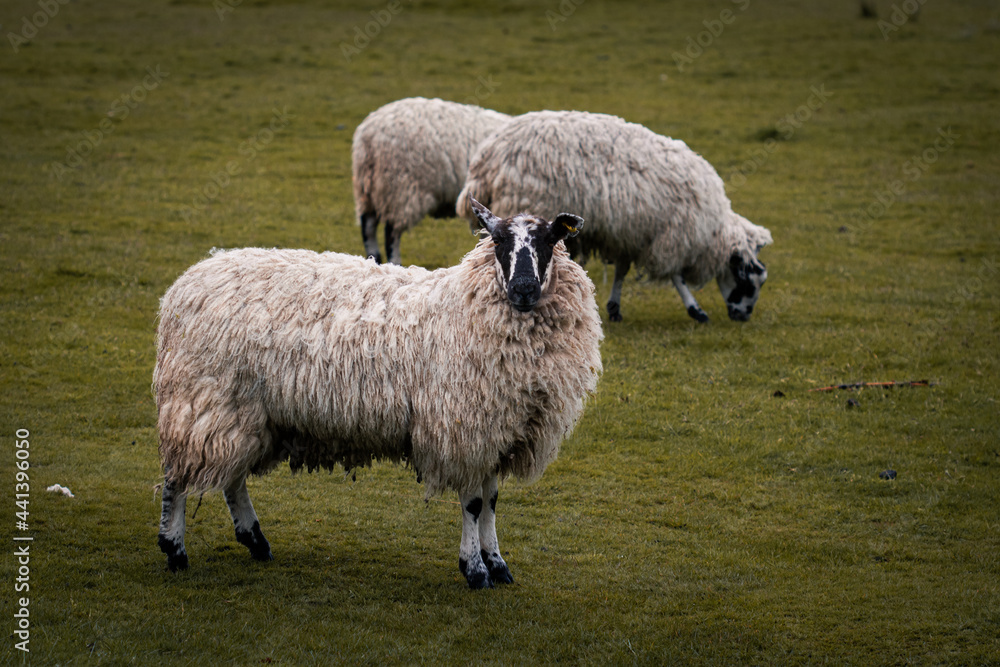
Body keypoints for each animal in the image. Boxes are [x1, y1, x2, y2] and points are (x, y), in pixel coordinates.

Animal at [154, 198, 603, 589]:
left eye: (549, 241)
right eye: (498, 242)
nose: (524, 288)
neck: (465, 305)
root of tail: (186, 282)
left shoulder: (496, 428)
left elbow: (491, 501)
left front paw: (497, 564)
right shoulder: (463, 428)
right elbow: (474, 504)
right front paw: (475, 569)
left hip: (246, 413)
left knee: (231, 478)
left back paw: (254, 540)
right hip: (204, 400)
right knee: (178, 477)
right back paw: (174, 550)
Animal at [352, 97, 511, 265]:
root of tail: (369, 136)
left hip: (369, 189)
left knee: (368, 226)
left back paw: (374, 257)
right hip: (400, 188)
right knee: (391, 233)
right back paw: (394, 262)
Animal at [457, 110, 773, 323]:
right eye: (748, 279)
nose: (743, 316)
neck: (713, 232)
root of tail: (487, 158)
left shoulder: (628, 235)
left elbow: (621, 270)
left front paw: (614, 307)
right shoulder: (670, 233)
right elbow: (676, 275)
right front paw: (695, 308)